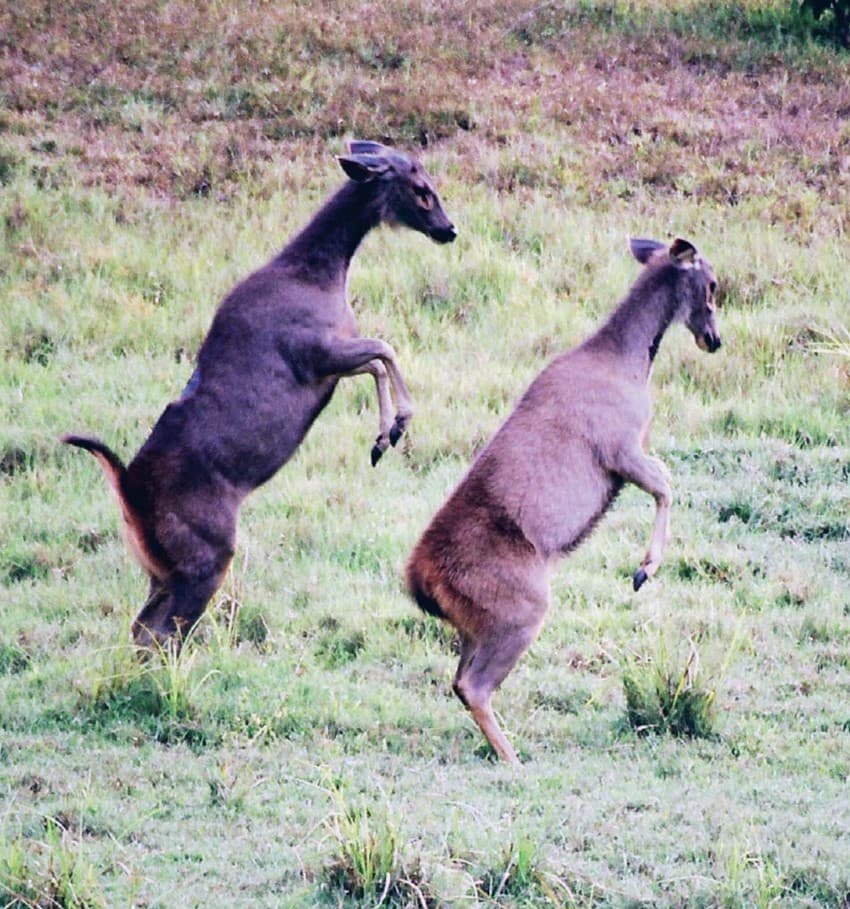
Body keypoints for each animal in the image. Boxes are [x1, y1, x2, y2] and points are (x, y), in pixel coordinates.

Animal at [66, 140, 458, 644]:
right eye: (421, 188)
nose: (449, 229)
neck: (319, 275)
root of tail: (127, 491)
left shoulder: (331, 359)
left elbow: (376, 358)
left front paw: (383, 437)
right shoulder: (312, 352)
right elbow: (383, 350)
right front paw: (391, 432)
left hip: (159, 567)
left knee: (142, 627)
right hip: (205, 553)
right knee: (163, 631)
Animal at [402, 238, 716, 764]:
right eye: (711, 284)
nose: (714, 339)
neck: (629, 363)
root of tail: (420, 583)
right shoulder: (620, 449)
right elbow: (666, 484)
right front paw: (643, 570)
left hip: (475, 625)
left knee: (459, 681)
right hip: (521, 610)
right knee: (474, 686)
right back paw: (513, 758)